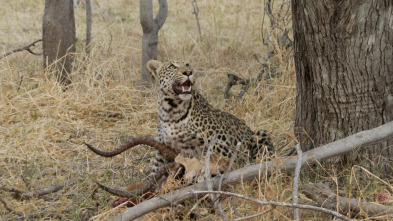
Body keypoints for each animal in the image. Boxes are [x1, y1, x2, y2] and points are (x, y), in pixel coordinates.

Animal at [145, 59, 274, 176]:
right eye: (172, 66)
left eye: (187, 64)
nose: (188, 72)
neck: (171, 111)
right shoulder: (162, 150)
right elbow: (155, 171)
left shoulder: (222, 144)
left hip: (260, 134)